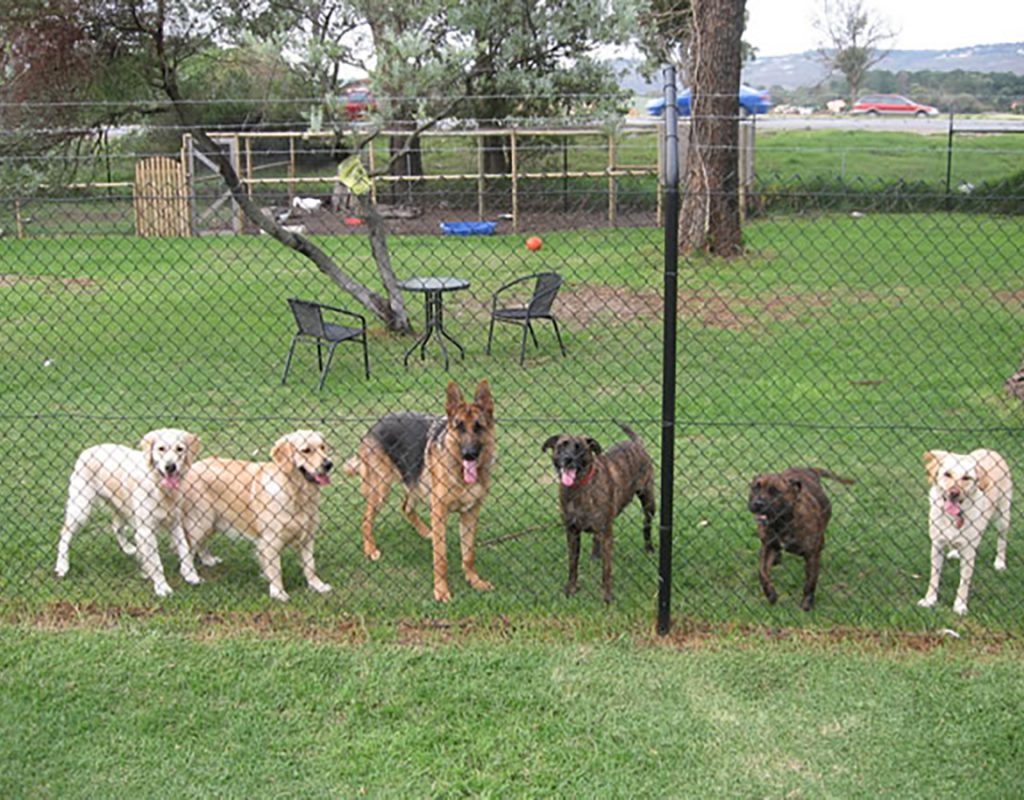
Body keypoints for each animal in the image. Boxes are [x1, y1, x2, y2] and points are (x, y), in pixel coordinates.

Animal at [54, 430, 201, 594]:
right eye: (161, 449)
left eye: (180, 449)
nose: (170, 467)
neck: (160, 488)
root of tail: (87, 450)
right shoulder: (145, 531)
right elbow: (156, 564)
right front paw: (161, 587)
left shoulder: (175, 523)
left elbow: (185, 550)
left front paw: (190, 574)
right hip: (81, 509)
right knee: (65, 533)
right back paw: (62, 565)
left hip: (123, 508)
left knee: (116, 527)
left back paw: (128, 548)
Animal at [544, 422, 655, 602]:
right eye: (561, 446)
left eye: (580, 449)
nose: (568, 459)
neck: (578, 489)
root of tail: (636, 443)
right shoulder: (572, 532)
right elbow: (572, 564)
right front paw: (571, 589)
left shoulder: (607, 533)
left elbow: (607, 570)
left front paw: (607, 596)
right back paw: (595, 555)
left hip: (648, 500)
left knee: (647, 523)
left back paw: (649, 548)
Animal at [749, 465, 851, 610]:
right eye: (755, 488)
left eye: (775, 491)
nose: (758, 503)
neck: (782, 523)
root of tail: (807, 468)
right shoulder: (767, 545)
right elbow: (762, 572)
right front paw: (770, 594)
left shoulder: (812, 555)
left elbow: (810, 581)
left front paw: (807, 603)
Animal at [917, 446, 1011, 614]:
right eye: (947, 474)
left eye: (966, 478)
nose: (954, 493)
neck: (953, 518)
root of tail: (990, 450)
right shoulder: (937, 545)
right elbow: (934, 577)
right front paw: (929, 600)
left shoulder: (969, 551)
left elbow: (964, 583)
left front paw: (960, 605)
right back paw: (955, 552)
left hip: (1003, 517)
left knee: (1002, 540)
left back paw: (1000, 562)